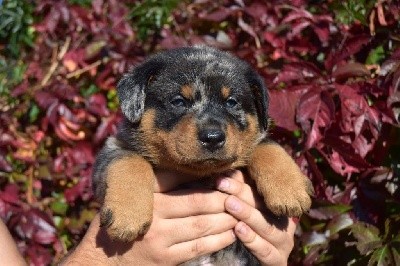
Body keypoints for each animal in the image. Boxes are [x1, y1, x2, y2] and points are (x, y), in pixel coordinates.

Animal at [92, 45, 314, 264]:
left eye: (231, 102)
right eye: (178, 101)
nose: (213, 137)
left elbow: (265, 145)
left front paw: (289, 190)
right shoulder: (115, 146)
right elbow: (128, 160)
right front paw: (127, 216)